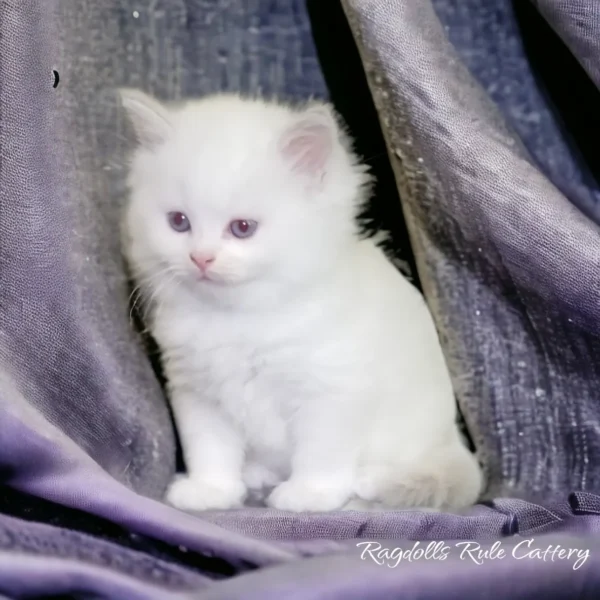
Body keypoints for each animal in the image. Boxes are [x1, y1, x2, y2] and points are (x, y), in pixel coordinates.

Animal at [118, 89, 482, 510]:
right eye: (179, 222)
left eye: (242, 228)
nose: (201, 258)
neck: (236, 318)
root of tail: (452, 439)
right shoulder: (195, 391)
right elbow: (208, 449)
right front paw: (210, 491)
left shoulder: (332, 389)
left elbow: (320, 453)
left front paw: (309, 495)